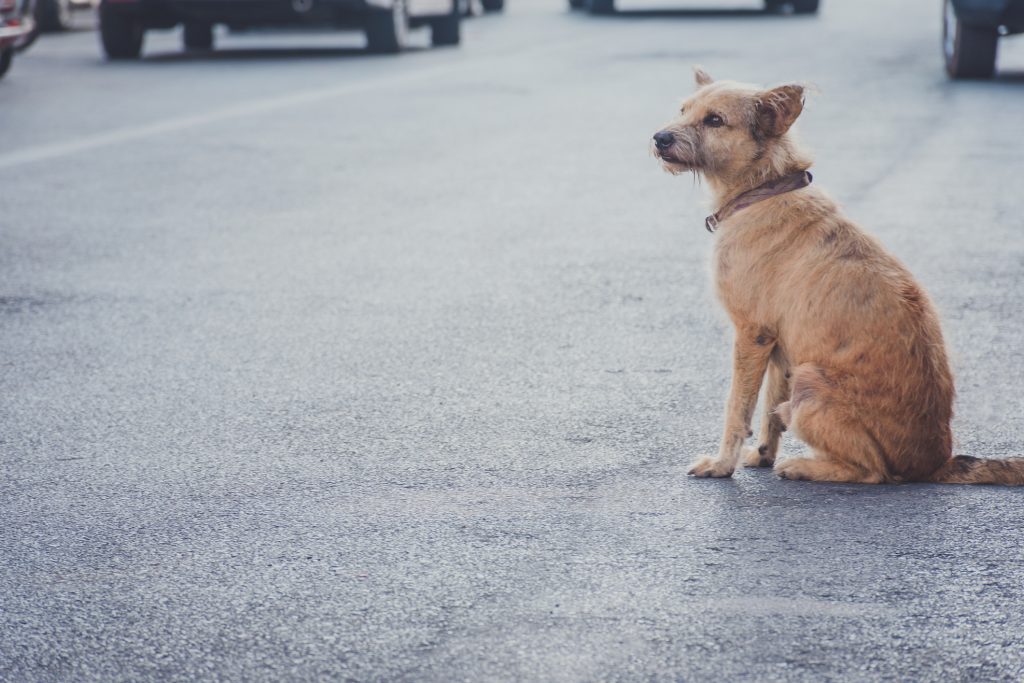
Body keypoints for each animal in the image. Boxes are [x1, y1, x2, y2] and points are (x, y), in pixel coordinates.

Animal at [651, 68, 1024, 485]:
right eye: (683, 110)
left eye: (715, 120)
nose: (659, 138)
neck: (765, 188)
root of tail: (935, 462)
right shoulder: (780, 347)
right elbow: (768, 411)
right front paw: (762, 454)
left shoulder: (752, 334)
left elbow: (738, 408)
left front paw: (721, 465)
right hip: (800, 374)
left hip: (810, 382)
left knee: (873, 472)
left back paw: (803, 467)